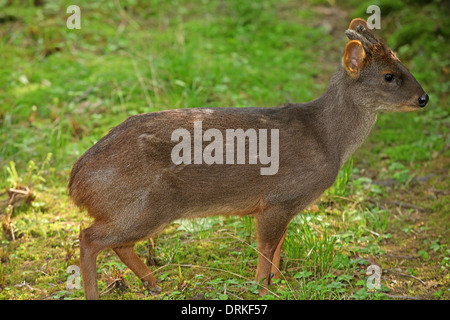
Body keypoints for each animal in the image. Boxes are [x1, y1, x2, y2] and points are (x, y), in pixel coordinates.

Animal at [68, 18, 428, 300]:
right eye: (389, 76)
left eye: (403, 64)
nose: (424, 98)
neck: (327, 140)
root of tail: (76, 182)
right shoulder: (277, 199)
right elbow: (265, 251)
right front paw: (262, 289)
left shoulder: (287, 205)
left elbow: (278, 249)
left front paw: (279, 283)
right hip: (145, 206)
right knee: (89, 238)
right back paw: (97, 292)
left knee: (116, 244)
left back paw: (153, 283)